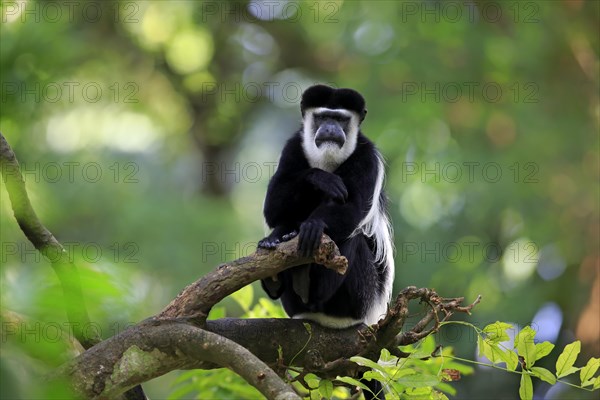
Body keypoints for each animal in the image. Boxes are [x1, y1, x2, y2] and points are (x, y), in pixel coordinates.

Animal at [258, 83, 394, 330]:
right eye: (322, 117)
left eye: (339, 119)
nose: (330, 128)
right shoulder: (294, 145)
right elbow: (273, 206)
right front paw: (322, 179)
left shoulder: (367, 157)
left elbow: (353, 208)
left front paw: (313, 226)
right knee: (285, 220)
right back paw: (275, 255)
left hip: (362, 298)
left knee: (352, 236)